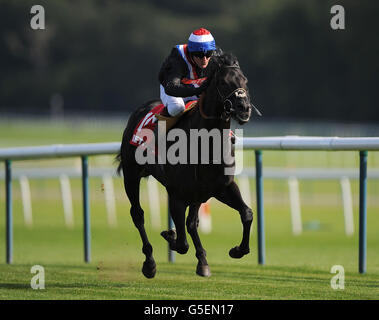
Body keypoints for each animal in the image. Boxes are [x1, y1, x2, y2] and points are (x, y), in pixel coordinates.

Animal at [116, 52, 258, 278]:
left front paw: (237, 250)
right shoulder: (177, 193)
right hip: (131, 174)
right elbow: (182, 243)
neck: (206, 143)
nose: (244, 109)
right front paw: (169, 235)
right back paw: (150, 263)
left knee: (191, 224)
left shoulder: (221, 187)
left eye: (244, 81)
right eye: (223, 82)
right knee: (138, 215)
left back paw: (201, 260)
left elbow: (246, 213)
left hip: (197, 193)